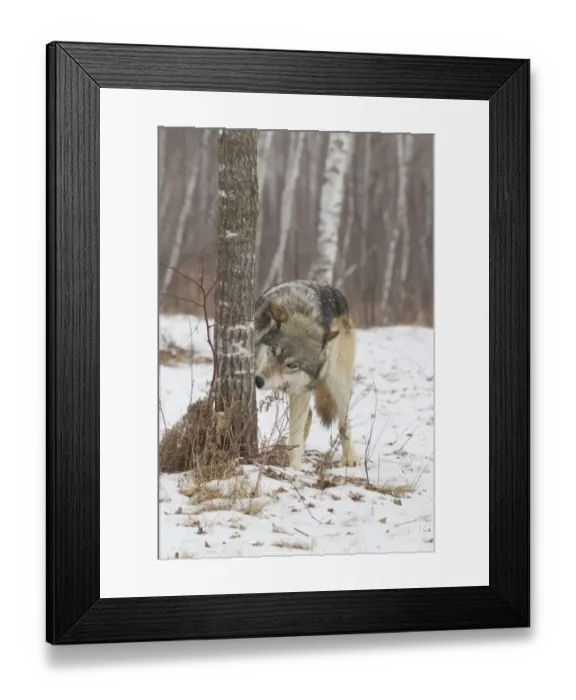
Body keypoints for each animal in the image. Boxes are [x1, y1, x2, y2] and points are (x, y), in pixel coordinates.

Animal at [253, 279, 359, 470]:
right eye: (273, 351)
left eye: (292, 365)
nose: (258, 380)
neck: (302, 312)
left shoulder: (300, 391)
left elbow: (295, 436)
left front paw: (293, 469)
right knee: (309, 415)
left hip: (338, 384)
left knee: (343, 422)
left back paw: (351, 458)